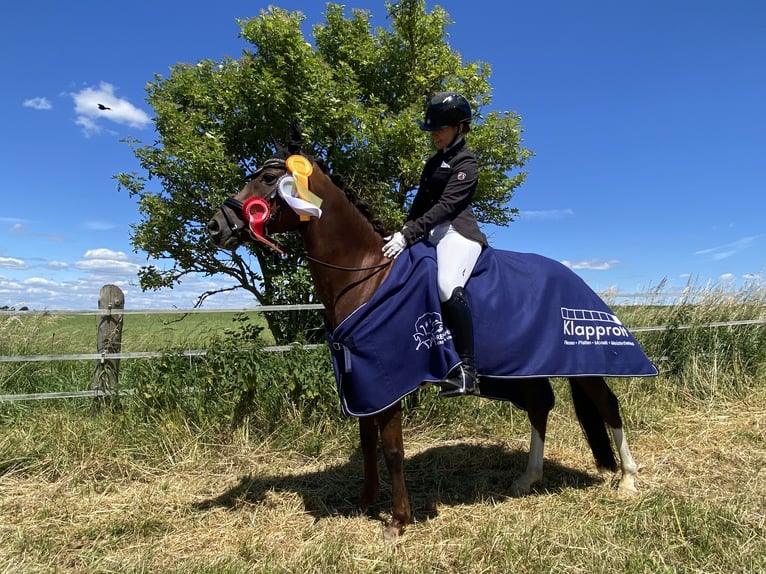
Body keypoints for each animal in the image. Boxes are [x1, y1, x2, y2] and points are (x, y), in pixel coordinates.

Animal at [207, 147, 656, 540]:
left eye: (268, 179)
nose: (216, 226)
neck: (368, 275)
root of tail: (575, 277)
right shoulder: (364, 382)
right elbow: (366, 444)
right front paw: (366, 501)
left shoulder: (388, 380)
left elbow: (392, 451)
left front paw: (397, 521)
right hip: (526, 368)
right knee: (539, 406)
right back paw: (528, 478)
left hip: (585, 361)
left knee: (607, 405)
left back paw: (628, 480)